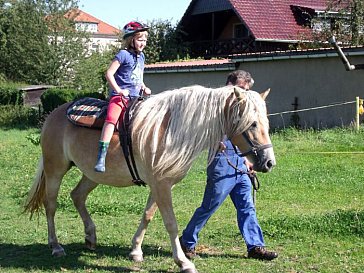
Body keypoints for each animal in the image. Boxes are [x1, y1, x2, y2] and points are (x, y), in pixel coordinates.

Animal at [24, 85, 276, 272]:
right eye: (252, 123)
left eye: (265, 122)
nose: (268, 162)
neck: (172, 131)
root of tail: (54, 114)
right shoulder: (161, 185)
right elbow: (171, 224)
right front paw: (183, 262)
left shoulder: (160, 185)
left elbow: (147, 216)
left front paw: (136, 251)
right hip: (55, 169)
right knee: (51, 205)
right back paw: (56, 246)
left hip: (92, 174)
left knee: (77, 196)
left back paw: (91, 237)